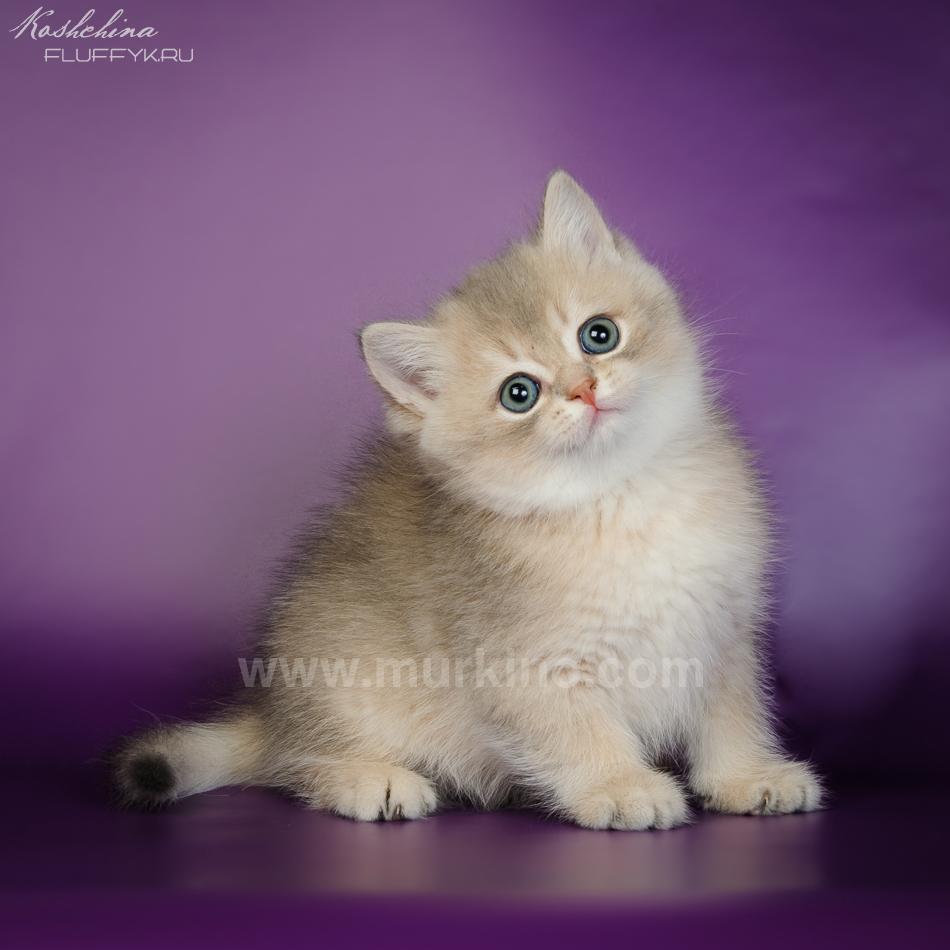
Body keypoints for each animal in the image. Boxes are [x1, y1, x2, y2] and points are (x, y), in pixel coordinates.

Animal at [114, 171, 823, 829]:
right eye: (519, 393)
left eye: (598, 335)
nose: (584, 389)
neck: (620, 497)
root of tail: (273, 713)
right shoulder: (526, 665)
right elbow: (579, 733)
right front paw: (622, 787)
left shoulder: (723, 631)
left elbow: (732, 715)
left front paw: (747, 776)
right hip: (344, 680)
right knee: (298, 763)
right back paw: (368, 778)